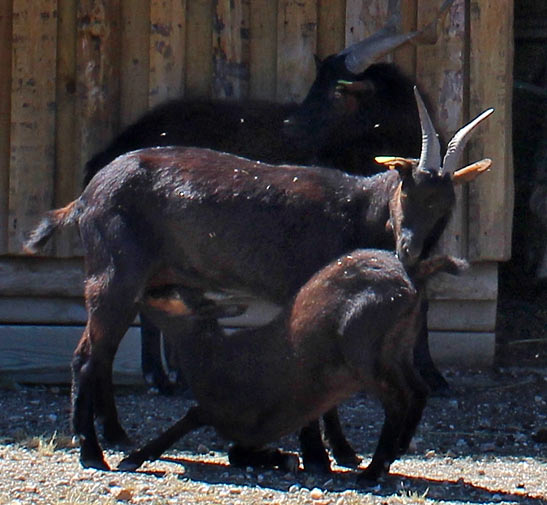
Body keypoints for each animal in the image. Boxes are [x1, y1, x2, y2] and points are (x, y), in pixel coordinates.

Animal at [117, 250, 468, 482]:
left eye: (172, 291)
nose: (144, 289)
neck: (213, 357)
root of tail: (411, 276)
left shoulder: (233, 412)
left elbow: (190, 418)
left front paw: (133, 458)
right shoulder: (251, 427)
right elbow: (234, 451)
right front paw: (282, 458)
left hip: (366, 353)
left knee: (397, 401)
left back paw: (373, 470)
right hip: (399, 347)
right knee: (418, 389)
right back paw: (396, 450)